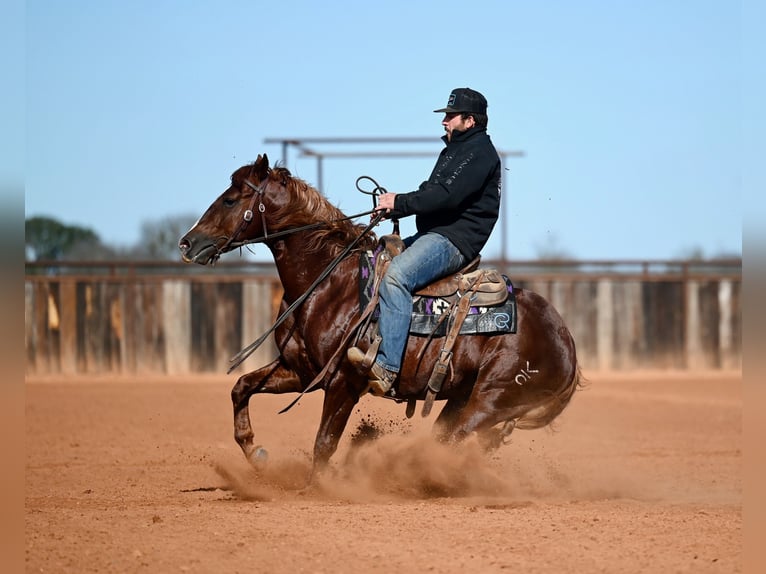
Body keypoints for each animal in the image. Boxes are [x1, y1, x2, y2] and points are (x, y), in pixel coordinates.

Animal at [179, 154, 581, 479]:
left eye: (231, 199)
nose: (187, 243)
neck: (329, 283)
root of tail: (566, 341)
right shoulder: (301, 370)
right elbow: (241, 387)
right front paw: (256, 452)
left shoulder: (342, 381)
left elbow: (324, 443)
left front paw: (316, 488)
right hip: (461, 398)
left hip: (489, 402)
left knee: (453, 442)